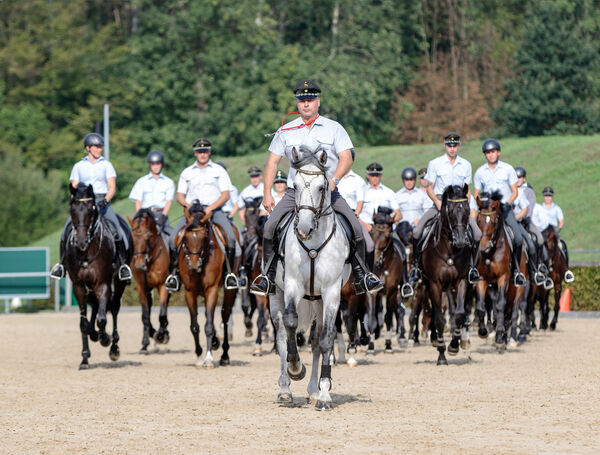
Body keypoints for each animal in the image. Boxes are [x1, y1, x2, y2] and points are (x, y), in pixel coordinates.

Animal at [65, 183, 132, 368]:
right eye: (72, 209)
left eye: (91, 209)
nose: (81, 242)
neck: (87, 252)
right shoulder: (79, 287)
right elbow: (83, 323)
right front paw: (84, 358)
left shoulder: (103, 284)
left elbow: (102, 318)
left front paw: (105, 339)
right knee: (95, 308)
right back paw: (94, 334)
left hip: (118, 283)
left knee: (114, 308)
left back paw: (113, 346)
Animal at [129, 208, 170, 354]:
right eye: (132, 238)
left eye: (147, 237)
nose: (139, 265)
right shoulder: (142, 287)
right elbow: (145, 315)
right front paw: (144, 344)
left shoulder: (163, 285)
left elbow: (162, 313)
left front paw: (161, 336)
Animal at [176, 201, 237, 368]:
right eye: (185, 238)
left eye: (204, 237)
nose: (194, 266)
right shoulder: (189, 292)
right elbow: (195, 326)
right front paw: (198, 356)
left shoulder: (212, 289)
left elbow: (208, 326)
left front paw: (208, 358)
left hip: (229, 290)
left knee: (225, 316)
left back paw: (224, 356)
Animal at [422, 183, 474, 366]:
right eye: (450, 211)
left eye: (467, 210)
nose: (460, 240)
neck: (449, 251)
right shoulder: (434, 284)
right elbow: (439, 319)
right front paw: (442, 355)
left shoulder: (461, 281)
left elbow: (458, 314)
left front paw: (453, 346)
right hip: (428, 285)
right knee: (434, 311)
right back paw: (434, 338)